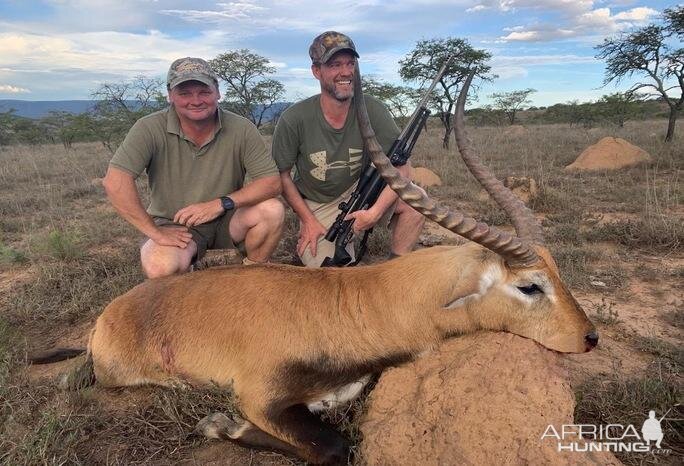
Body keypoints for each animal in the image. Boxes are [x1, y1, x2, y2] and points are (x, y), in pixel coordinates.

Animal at [32, 69, 600, 466]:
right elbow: (333, 447)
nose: (589, 337)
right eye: (530, 286)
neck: (351, 304)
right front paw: (218, 425)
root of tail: (107, 320)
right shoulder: (261, 396)